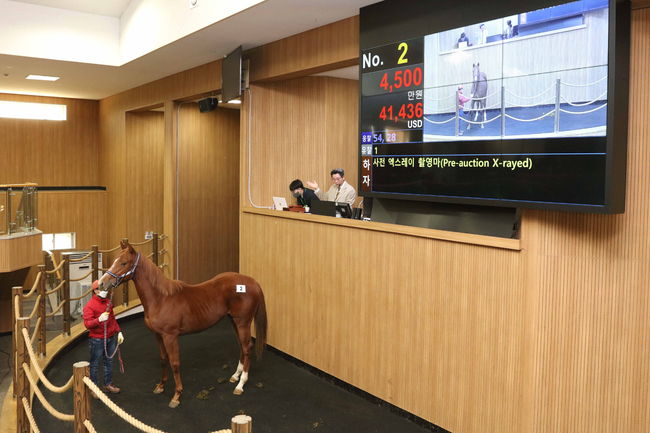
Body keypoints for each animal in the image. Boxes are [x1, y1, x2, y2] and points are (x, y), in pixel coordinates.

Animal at [98, 238, 266, 406]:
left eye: (124, 263)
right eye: (114, 261)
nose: (101, 283)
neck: (161, 298)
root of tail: (253, 282)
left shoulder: (170, 336)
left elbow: (175, 363)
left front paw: (177, 395)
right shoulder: (158, 335)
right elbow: (163, 359)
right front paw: (160, 386)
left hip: (243, 323)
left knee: (247, 348)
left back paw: (240, 385)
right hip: (234, 321)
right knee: (242, 347)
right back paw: (235, 376)